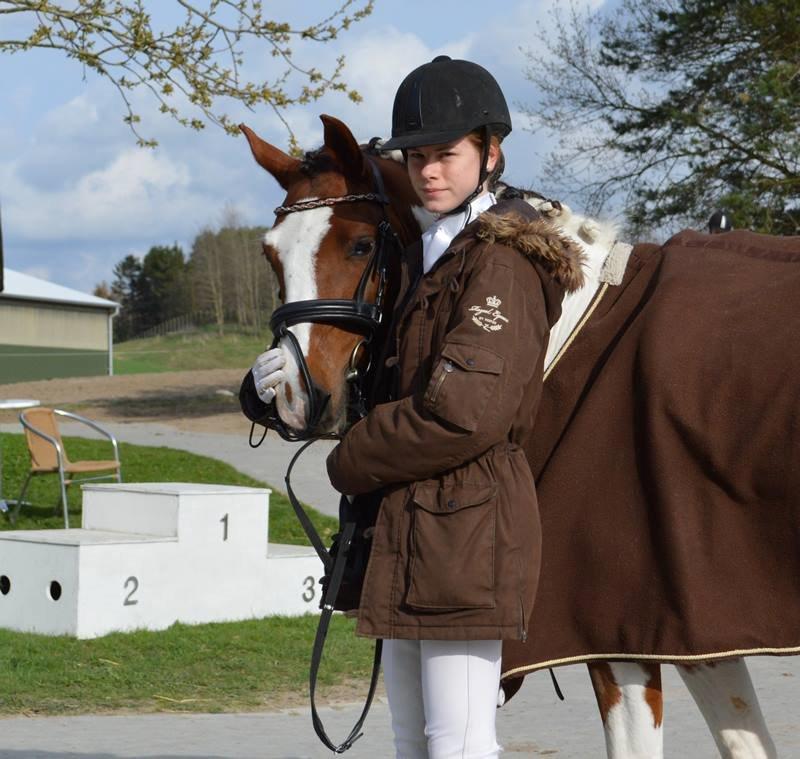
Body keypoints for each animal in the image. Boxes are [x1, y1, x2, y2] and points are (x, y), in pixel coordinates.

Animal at [239, 114, 789, 758]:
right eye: (271, 255)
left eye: (360, 245)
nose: (291, 394)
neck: (568, 329)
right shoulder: (689, 626)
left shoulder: (621, 638)